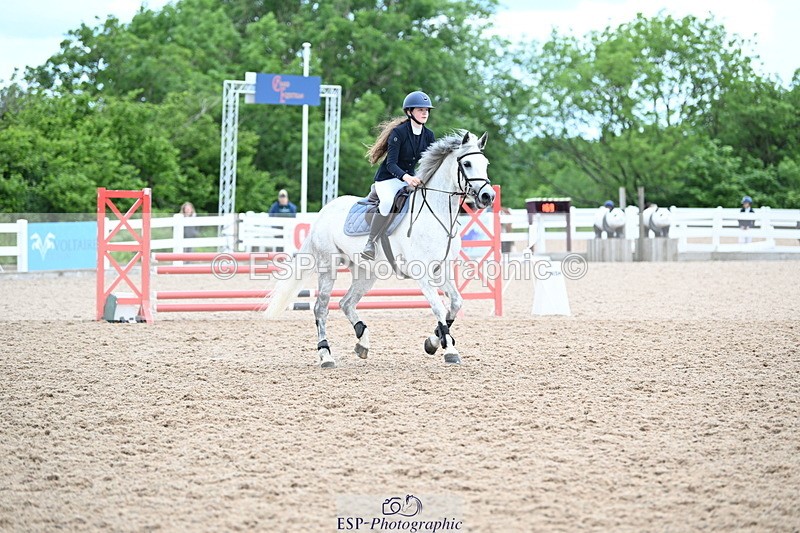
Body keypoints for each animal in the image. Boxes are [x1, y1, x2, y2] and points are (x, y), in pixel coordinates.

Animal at [264, 130, 493, 368]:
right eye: (466, 164)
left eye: (485, 164)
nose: (488, 196)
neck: (436, 216)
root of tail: (323, 212)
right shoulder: (422, 274)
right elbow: (438, 307)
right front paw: (449, 350)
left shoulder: (442, 271)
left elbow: (455, 303)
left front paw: (433, 342)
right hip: (329, 267)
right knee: (321, 307)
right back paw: (326, 355)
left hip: (367, 273)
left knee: (346, 303)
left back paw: (362, 342)